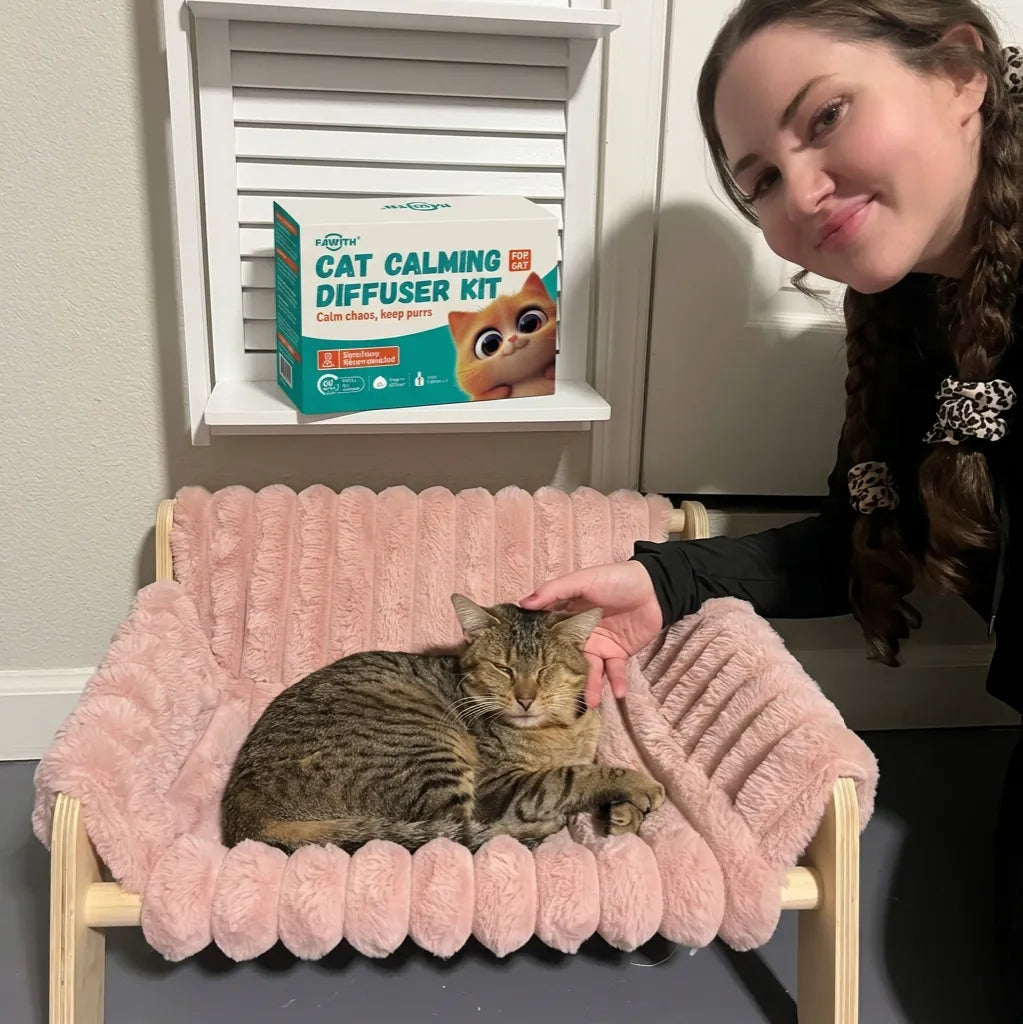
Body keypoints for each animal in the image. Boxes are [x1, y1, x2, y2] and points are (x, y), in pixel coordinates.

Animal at [220, 594, 664, 854]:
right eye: (502, 668)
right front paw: (638, 785)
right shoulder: (499, 785)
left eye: (546, 669)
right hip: (428, 752)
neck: (559, 729)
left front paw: (624, 814)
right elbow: (574, 776)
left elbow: (585, 767)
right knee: (459, 832)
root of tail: (241, 815)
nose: (525, 698)